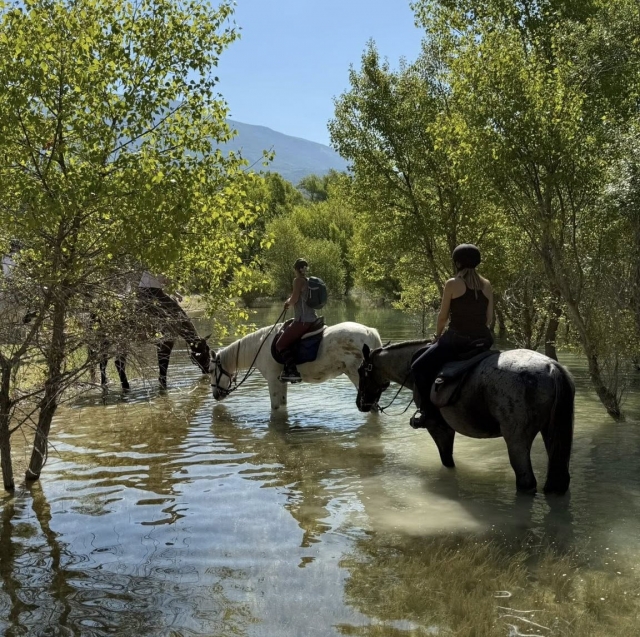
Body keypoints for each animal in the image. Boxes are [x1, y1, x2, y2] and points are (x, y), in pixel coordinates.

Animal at [210, 321, 382, 410]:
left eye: (211, 370)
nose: (215, 395)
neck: (260, 345)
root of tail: (369, 331)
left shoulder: (273, 381)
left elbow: (275, 408)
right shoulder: (280, 382)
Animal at [356, 341, 575, 495]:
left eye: (360, 371)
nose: (360, 403)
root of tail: (550, 367)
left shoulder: (438, 428)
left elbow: (447, 461)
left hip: (516, 440)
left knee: (526, 481)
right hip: (549, 432)